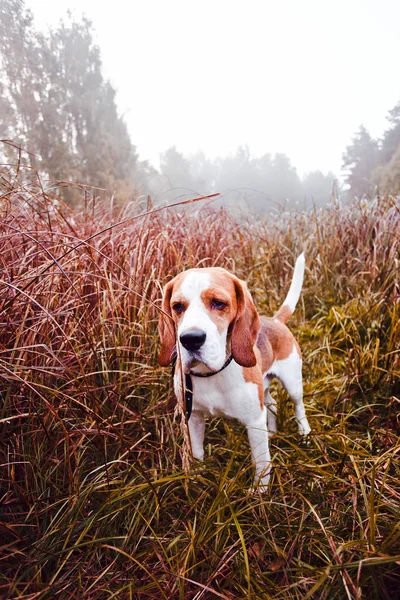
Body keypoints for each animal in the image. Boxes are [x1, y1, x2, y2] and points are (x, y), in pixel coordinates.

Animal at [158, 255, 310, 490]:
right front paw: (196, 479)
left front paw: (259, 492)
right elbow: (197, 452)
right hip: (264, 388)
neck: (211, 374)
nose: (190, 339)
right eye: (177, 306)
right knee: (272, 403)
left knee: (299, 406)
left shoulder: (254, 421)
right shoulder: (193, 416)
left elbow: (261, 462)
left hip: (293, 383)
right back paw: (272, 431)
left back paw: (305, 433)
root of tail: (275, 320)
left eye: (219, 303)